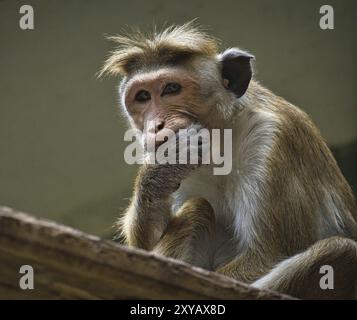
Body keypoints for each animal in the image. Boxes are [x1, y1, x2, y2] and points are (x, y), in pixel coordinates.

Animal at [99, 23, 356, 300]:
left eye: (171, 89)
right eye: (143, 96)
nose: (155, 126)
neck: (222, 138)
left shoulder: (272, 138)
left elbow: (267, 256)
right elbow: (143, 249)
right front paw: (165, 165)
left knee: (340, 251)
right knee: (197, 207)